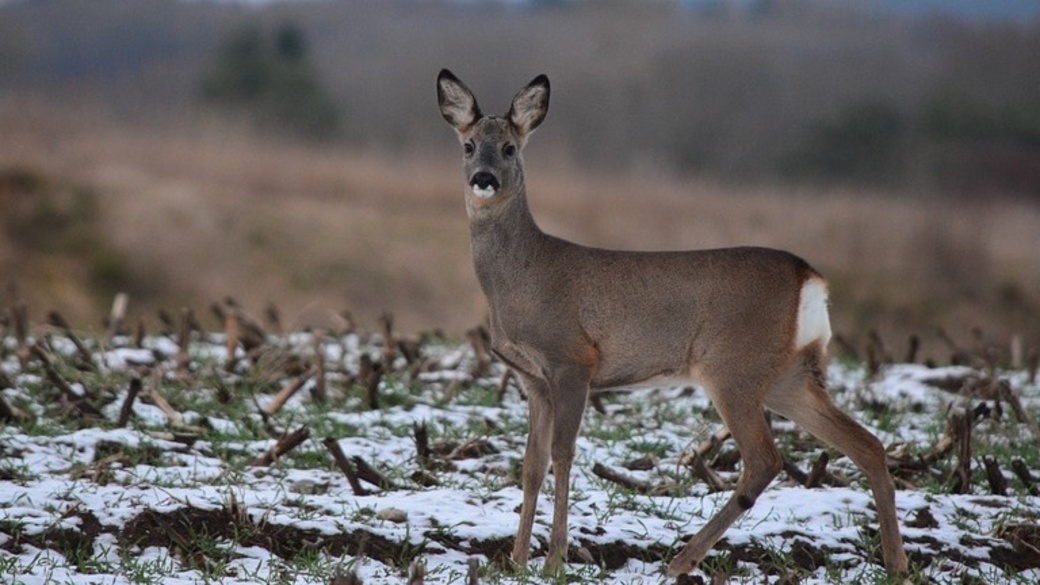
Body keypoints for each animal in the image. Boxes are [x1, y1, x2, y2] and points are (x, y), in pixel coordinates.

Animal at [434, 68, 906, 574]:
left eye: (509, 147)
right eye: (468, 145)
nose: (483, 179)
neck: (524, 278)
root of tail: (810, 278)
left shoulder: (572, 360)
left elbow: (562, 454)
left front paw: (553, 561)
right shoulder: (531, 378)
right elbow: (531, 464)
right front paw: (516, 560)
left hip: (732, 367)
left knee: (765, 460)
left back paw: (681, 561)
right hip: (787, 375)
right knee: (867, 444)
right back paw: (897, 565)